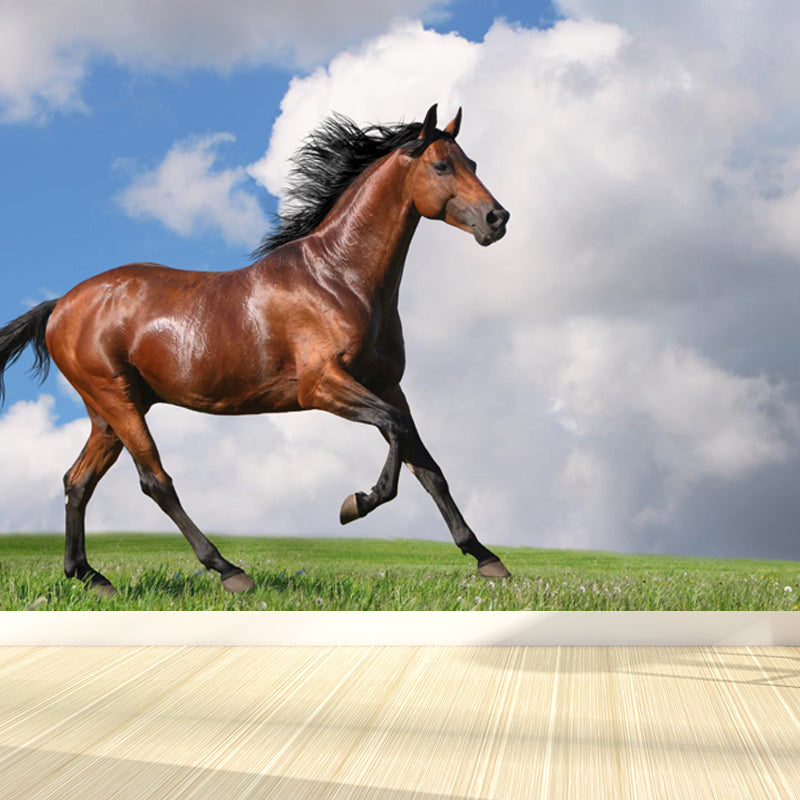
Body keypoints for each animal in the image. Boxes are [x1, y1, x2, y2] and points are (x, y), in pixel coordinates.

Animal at [0, 104, 510, 596]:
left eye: (472, 163)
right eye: (442, 165)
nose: (497, 219)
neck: (338, 278)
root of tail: (60, 305)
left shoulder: (387, 385)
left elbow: (427, 465)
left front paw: (487, 559)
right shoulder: (321, 386)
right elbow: (396, 430)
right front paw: (355, 504)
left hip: (109, 413)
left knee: (78, 481)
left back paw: (90, 576)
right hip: (117, 401)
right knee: (155, 482)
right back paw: (228, 570)